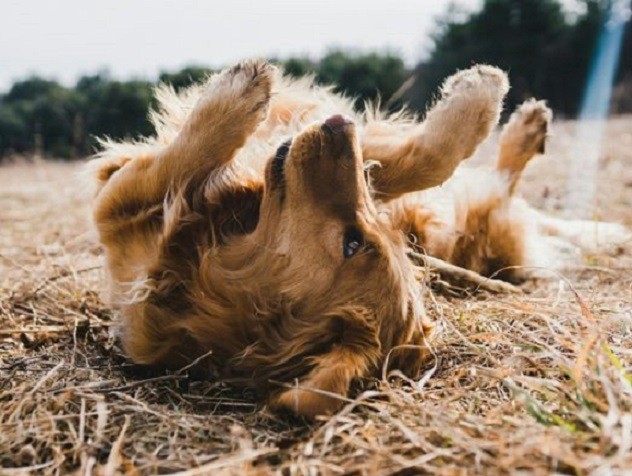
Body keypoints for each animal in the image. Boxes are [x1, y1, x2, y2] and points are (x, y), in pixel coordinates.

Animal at [87, 59, 628, 416]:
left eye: (355, 243)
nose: (338, 123)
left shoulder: (116, 208)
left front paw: (234, 99)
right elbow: (420, 161)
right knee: (498, 187)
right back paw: (528, 125)